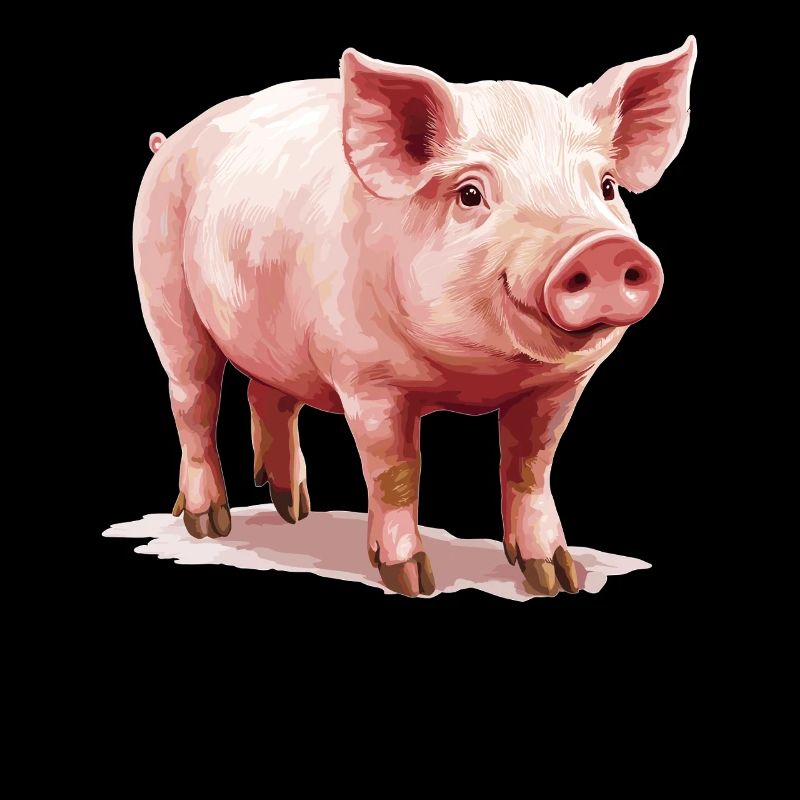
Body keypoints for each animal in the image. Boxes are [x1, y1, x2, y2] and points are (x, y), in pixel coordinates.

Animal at [133, 39, 696, 597]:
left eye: (607, 187)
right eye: (470, 194)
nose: (602, 248)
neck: (477, 377)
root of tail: (169, 143)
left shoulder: (560, 385)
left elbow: (530, 467)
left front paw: (557, 579)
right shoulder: (368, 379)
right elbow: (397, 471)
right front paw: (411, 580)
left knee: (268, 395)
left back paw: (295, 510)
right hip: (164, 295)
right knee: (193, 400)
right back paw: (208, 524)